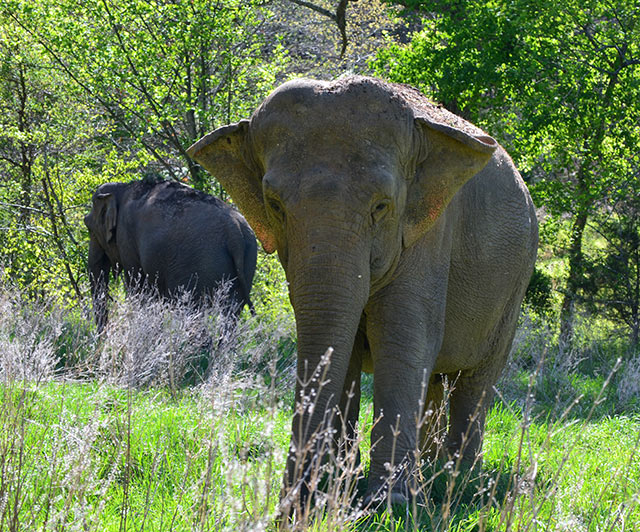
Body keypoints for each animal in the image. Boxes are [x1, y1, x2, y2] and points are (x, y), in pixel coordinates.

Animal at [83, 179, 258, 330]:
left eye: (88, 226)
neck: (123, 186)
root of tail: (234, 230)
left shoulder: (126, 236)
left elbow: (138, 288)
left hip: (199, 263)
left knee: (192, 309)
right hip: (246, 259)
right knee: (231, 312)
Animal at [188, 77, 536, 510]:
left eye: (382, 206)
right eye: (274, 205)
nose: (288, 506)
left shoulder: (428, 236)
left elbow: (401, 338)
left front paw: (390, 505)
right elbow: (345, 346)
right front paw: (335, 490)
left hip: (514, 287)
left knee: (475, 381)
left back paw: (460, 481)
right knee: (439, 380)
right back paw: (433, 474)